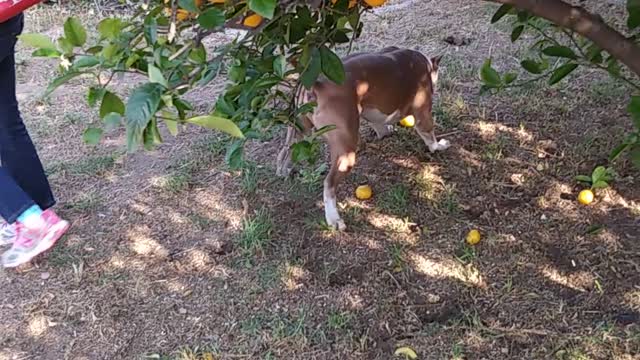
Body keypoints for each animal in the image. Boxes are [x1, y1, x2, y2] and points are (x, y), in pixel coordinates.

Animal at [276, 46, 450, 231]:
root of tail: (316, 85)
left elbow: (380, 125)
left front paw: (387, 130)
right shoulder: (423, 113)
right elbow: (429, 135)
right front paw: (439, 145)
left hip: (298, 131)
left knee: (285, 153)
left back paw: (284, 171)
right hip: (346, 149)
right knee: (329, 183)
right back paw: (334, 219)